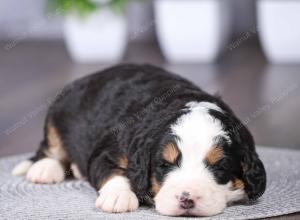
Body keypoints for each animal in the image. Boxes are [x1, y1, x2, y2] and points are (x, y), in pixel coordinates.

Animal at [11, 64, 266, 217]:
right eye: (165, 164)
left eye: (219, 167)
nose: (187, 200)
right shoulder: (107, 151)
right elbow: (113, 172)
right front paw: (118, 197)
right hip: (57, 113)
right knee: (50, 148)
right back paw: (45, 169)